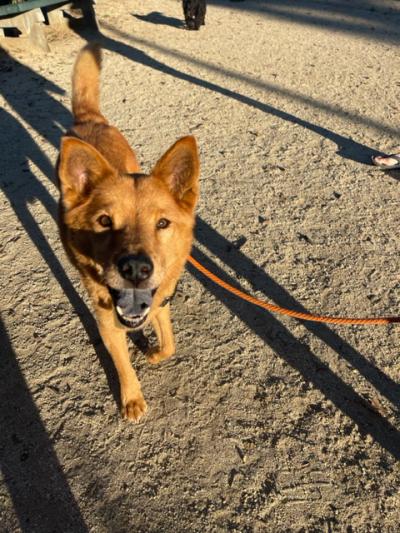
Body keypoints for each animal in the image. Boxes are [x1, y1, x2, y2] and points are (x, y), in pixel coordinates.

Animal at [57, 43, 199, 422]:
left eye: (162, 223)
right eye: (105, 222)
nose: (136, 268)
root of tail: (90, 121)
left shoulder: (160, 300)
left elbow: (168, 343)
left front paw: (154, 353)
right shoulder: (107, 323)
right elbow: (122, 365)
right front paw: (132, 398)